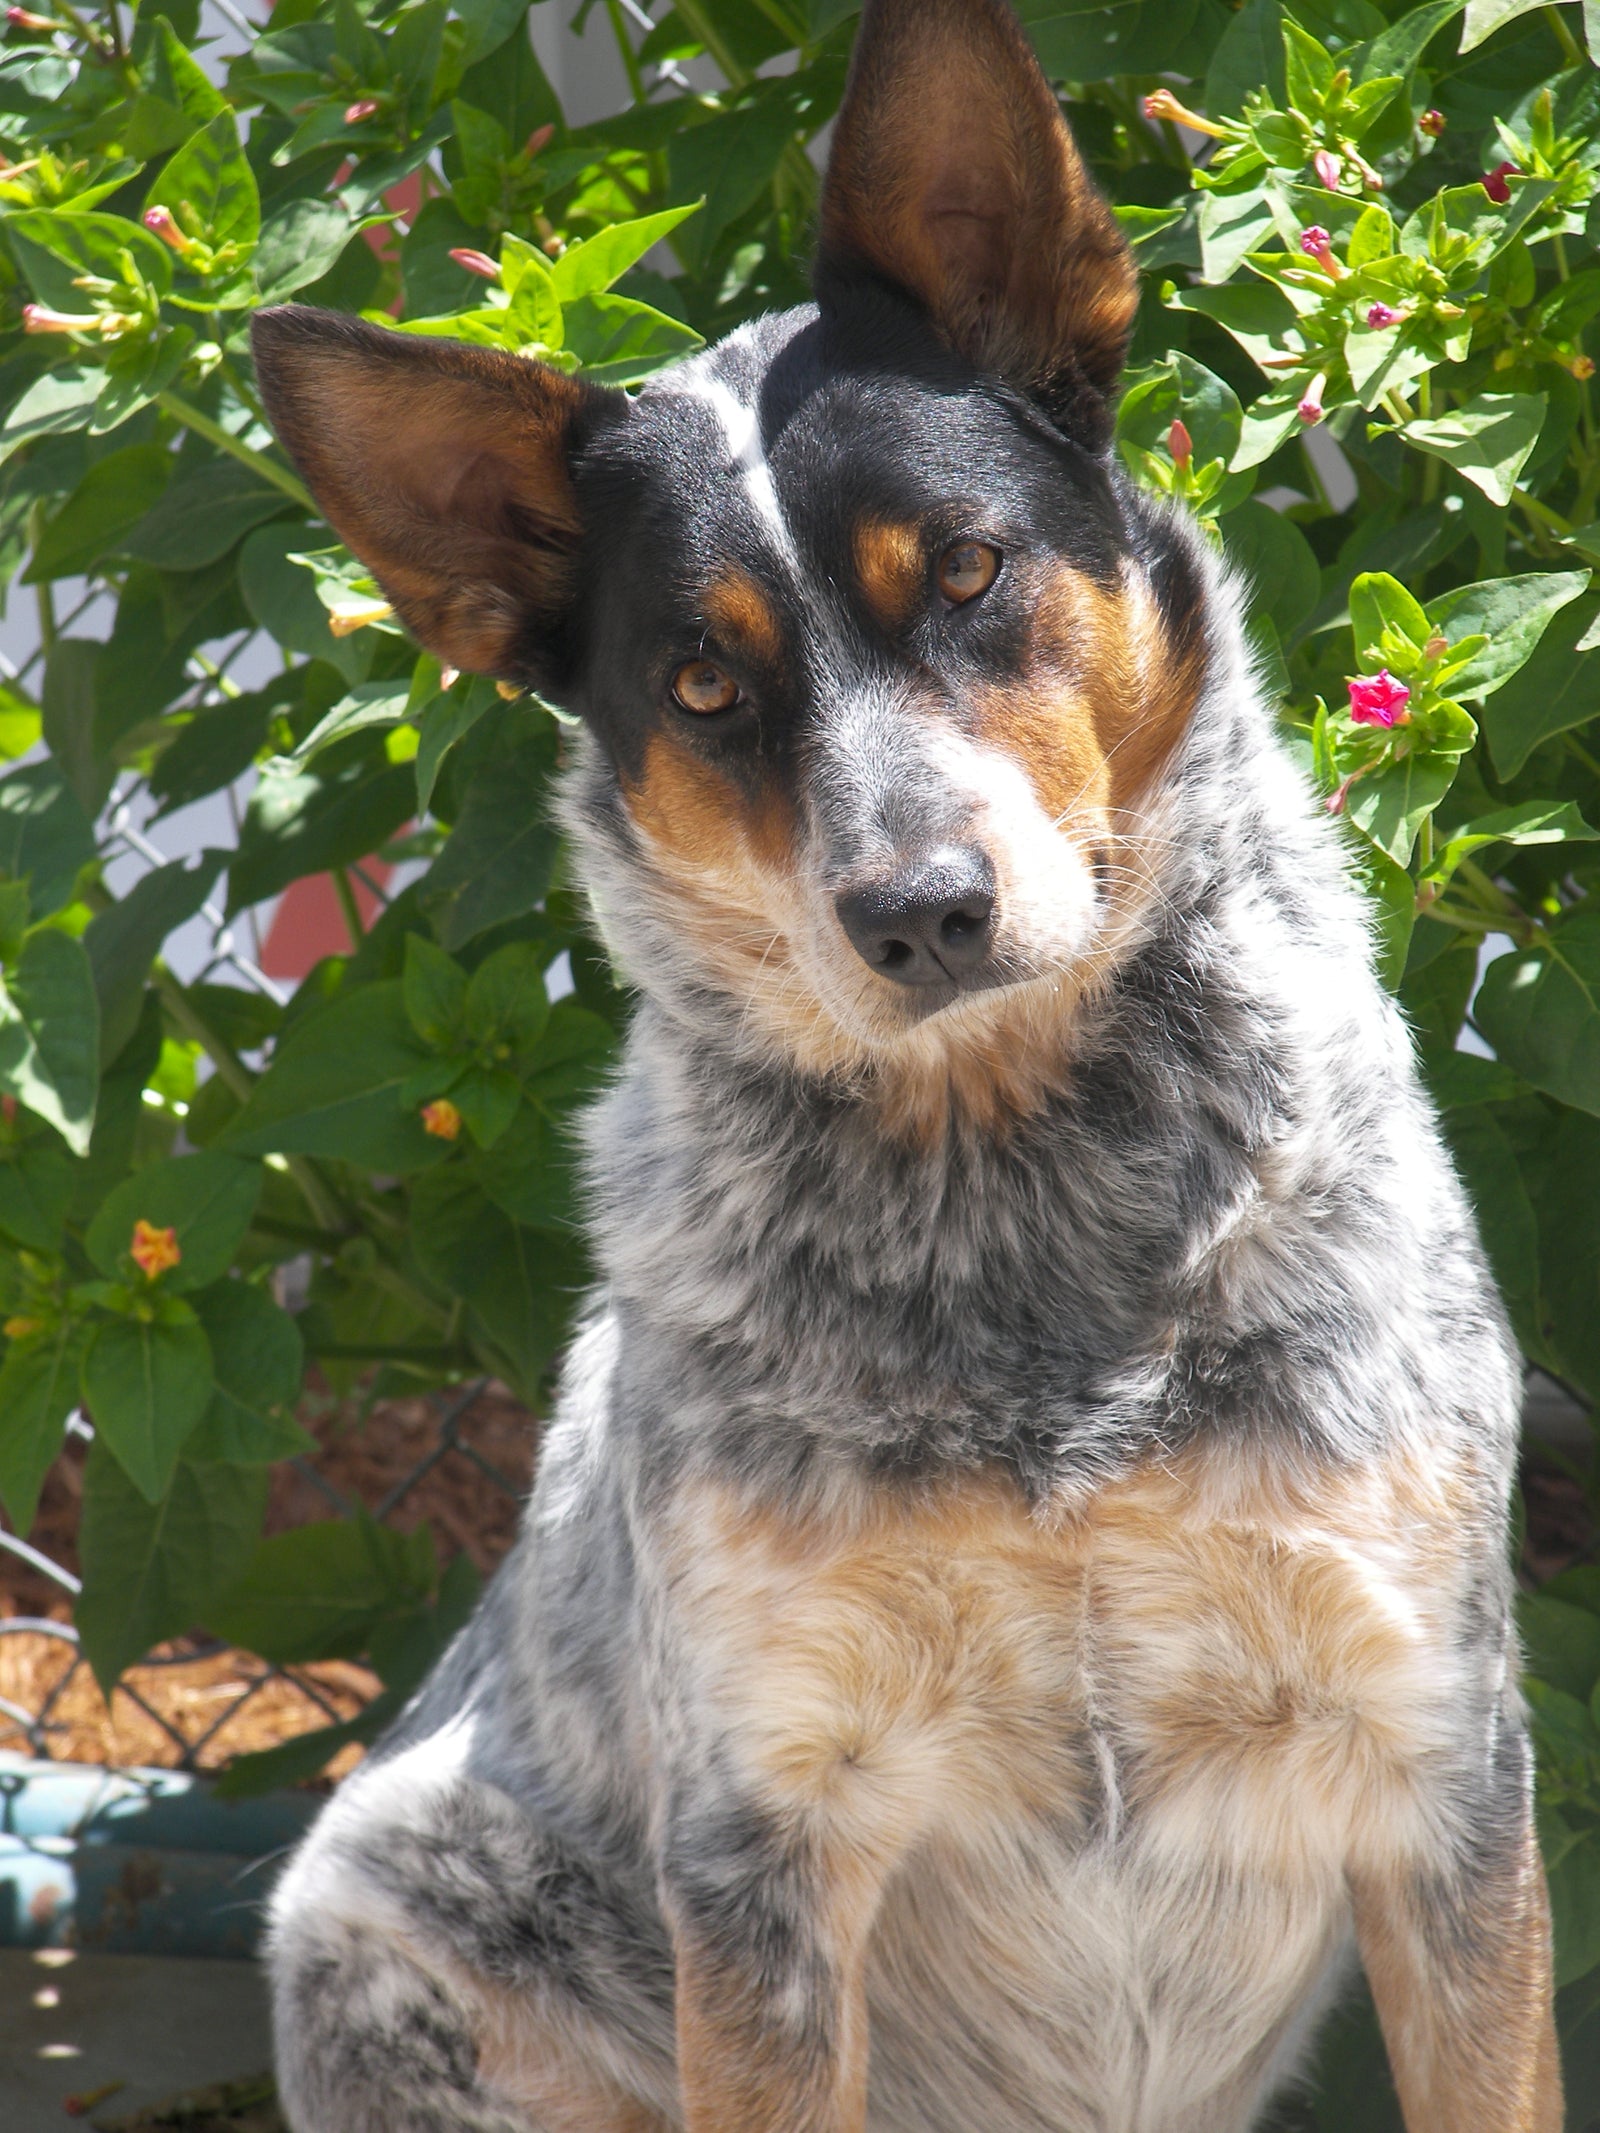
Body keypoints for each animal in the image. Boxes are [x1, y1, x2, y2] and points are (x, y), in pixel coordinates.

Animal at [250, 8, 1570, 2124]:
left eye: (962, 568)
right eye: (704, 680)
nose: (923, 911)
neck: (1024, 1195)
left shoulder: (1442, 1763)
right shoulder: (767, 1842)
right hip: (394, 1909)